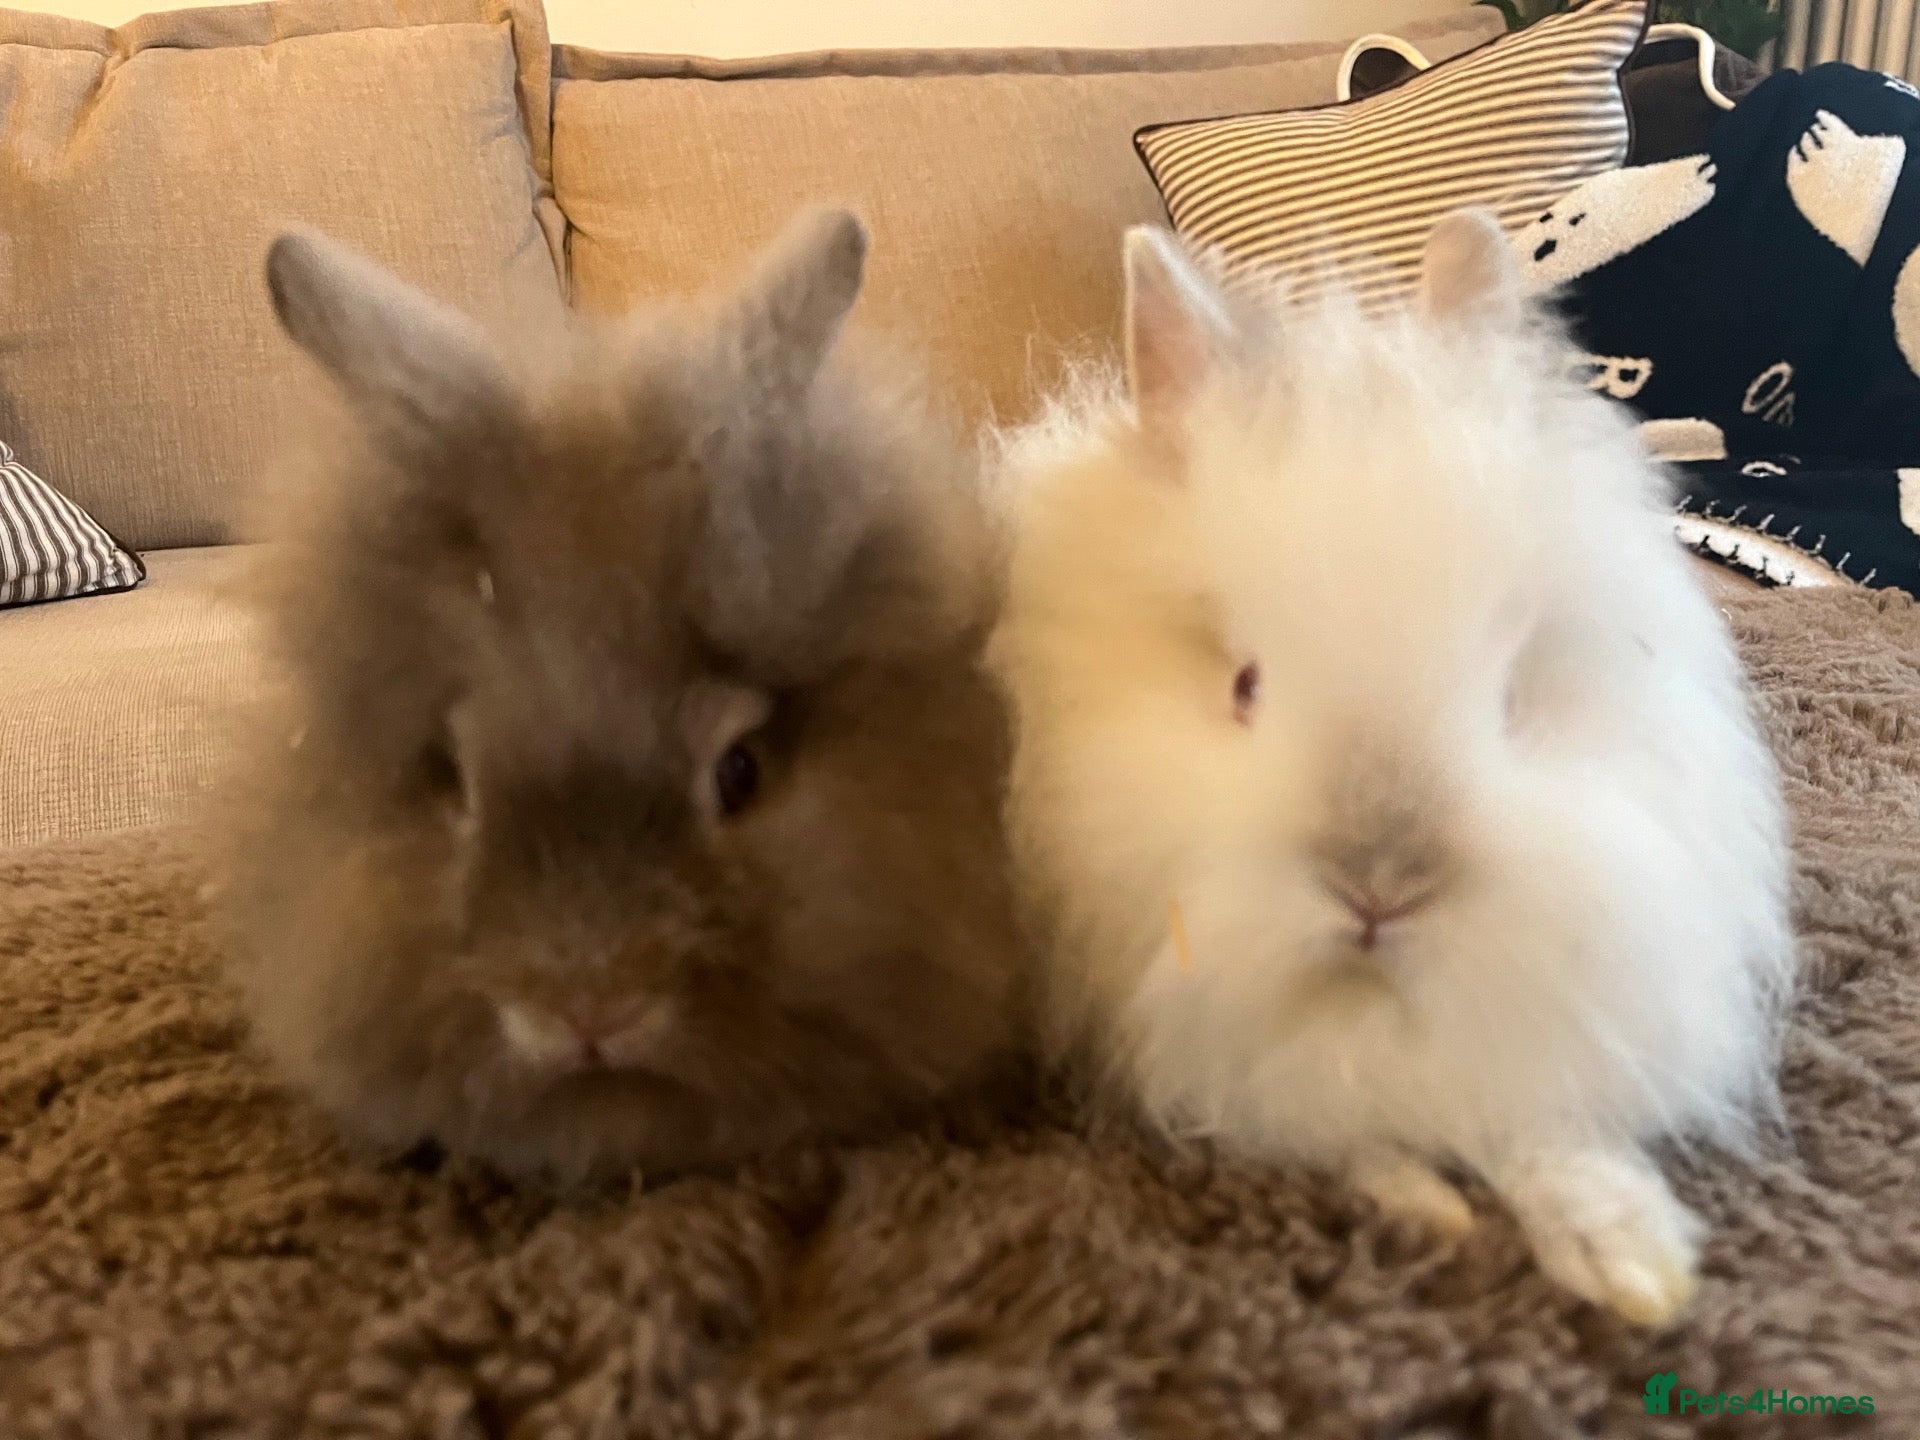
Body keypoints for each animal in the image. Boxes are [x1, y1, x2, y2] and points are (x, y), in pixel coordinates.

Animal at [987, 210, 1796, 1326]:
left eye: (1509, 700)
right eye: (1244, 686)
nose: (1382, 886)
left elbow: (1535, 1127)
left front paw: (1626, 1256)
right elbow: (1321, 1120)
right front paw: (1422, 1203)